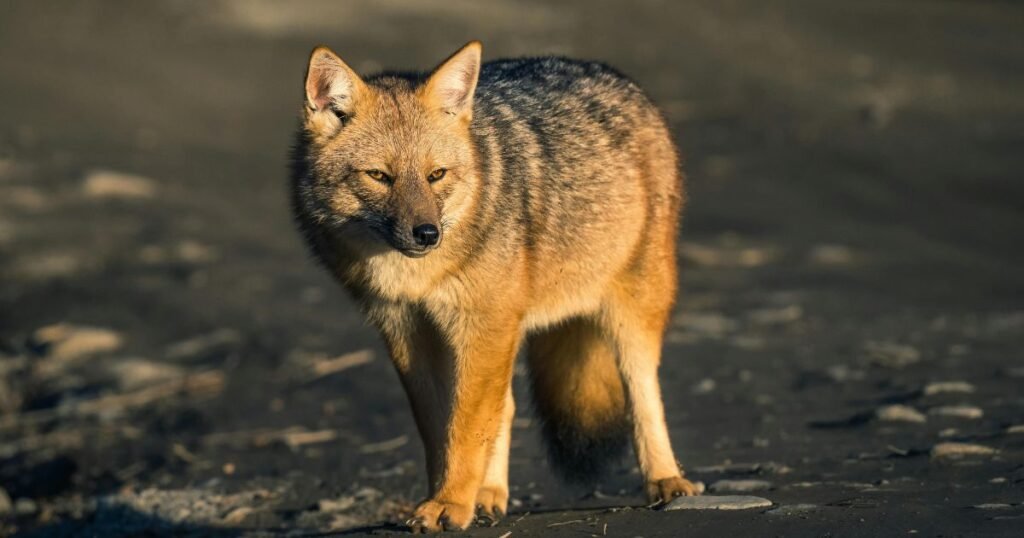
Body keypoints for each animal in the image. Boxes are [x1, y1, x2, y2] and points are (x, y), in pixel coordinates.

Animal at [290, 41, 697, 532]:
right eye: (379, 176)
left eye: (436, 175)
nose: (427, 234)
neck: (416, 277)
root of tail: (605, 71)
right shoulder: (409, 332)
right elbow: (443, 429)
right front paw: (448, 497)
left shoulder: (480, 326)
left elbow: (466, 429)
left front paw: (450, 503)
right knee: (506, 408)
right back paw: (489, 496)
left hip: (631, 311)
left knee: (643, 392)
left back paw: (666, 480)